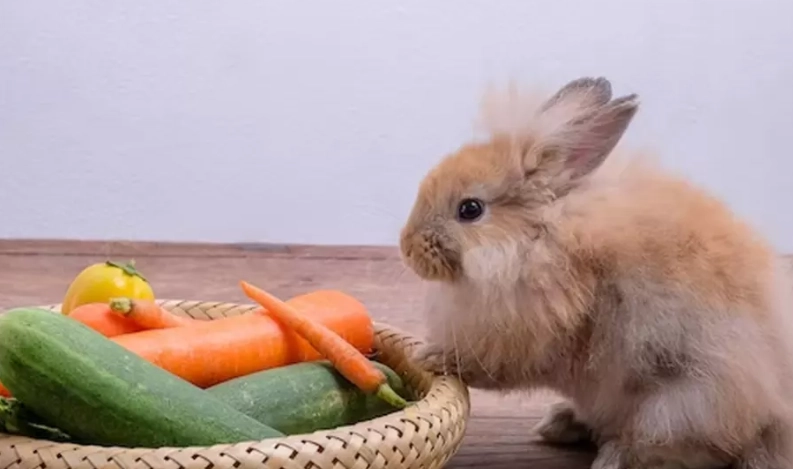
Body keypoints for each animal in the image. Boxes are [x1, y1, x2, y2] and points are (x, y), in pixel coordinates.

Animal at [398, 76, 793, 469]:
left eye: (470, 209)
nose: (406, 247)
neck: (537, 239)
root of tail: (772, 421)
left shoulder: (524, 342)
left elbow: (484, 367)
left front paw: (430, 356)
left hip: (678, 407)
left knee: (674, 449)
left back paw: (608, 455)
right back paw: (558, 423)